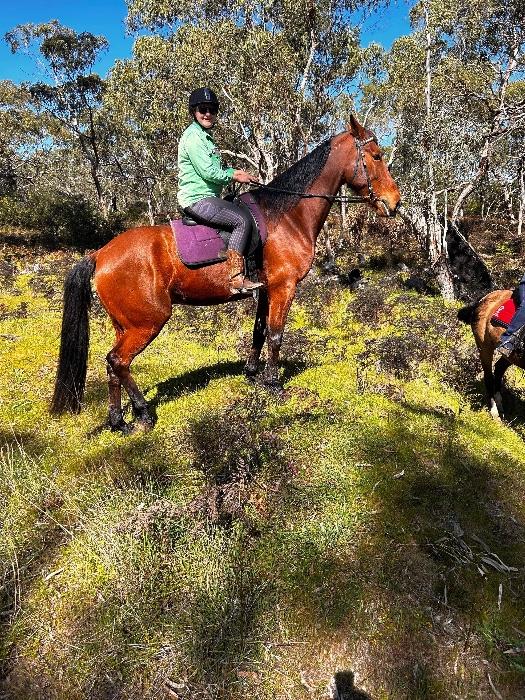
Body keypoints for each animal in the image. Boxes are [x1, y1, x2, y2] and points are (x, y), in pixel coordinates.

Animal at [50, 114, 401, 433]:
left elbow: (259, 332)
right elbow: (276, 334)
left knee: (113, 367)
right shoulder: (284, 287)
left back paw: (118, 421)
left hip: (124, 323)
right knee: (118, 361)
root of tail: (100, 254)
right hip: (147, 322)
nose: (394, 203)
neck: (285, 216)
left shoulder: (265, 289)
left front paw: (253, 374)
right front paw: (274, 384)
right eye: (377, 156)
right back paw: (144, 415)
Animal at [458, 289, 524, 419]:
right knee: (488, 377)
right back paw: (495, 412)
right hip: (484, 347)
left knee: (499, 368)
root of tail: (483, 299)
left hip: (510, 356)